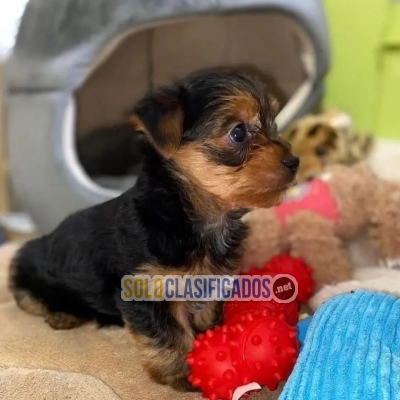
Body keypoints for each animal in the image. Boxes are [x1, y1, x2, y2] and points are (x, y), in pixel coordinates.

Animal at [9, 71, 298, 390]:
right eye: (238, 133)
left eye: (274, 125)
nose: (294, 162)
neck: (190, 216)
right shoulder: (146, 289)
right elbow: (168, 333)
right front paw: (182, 373)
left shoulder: (212, 280)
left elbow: (205, 313)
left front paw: (205, 340)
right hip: (29, 262)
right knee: (26, 294)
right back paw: (61, 314)